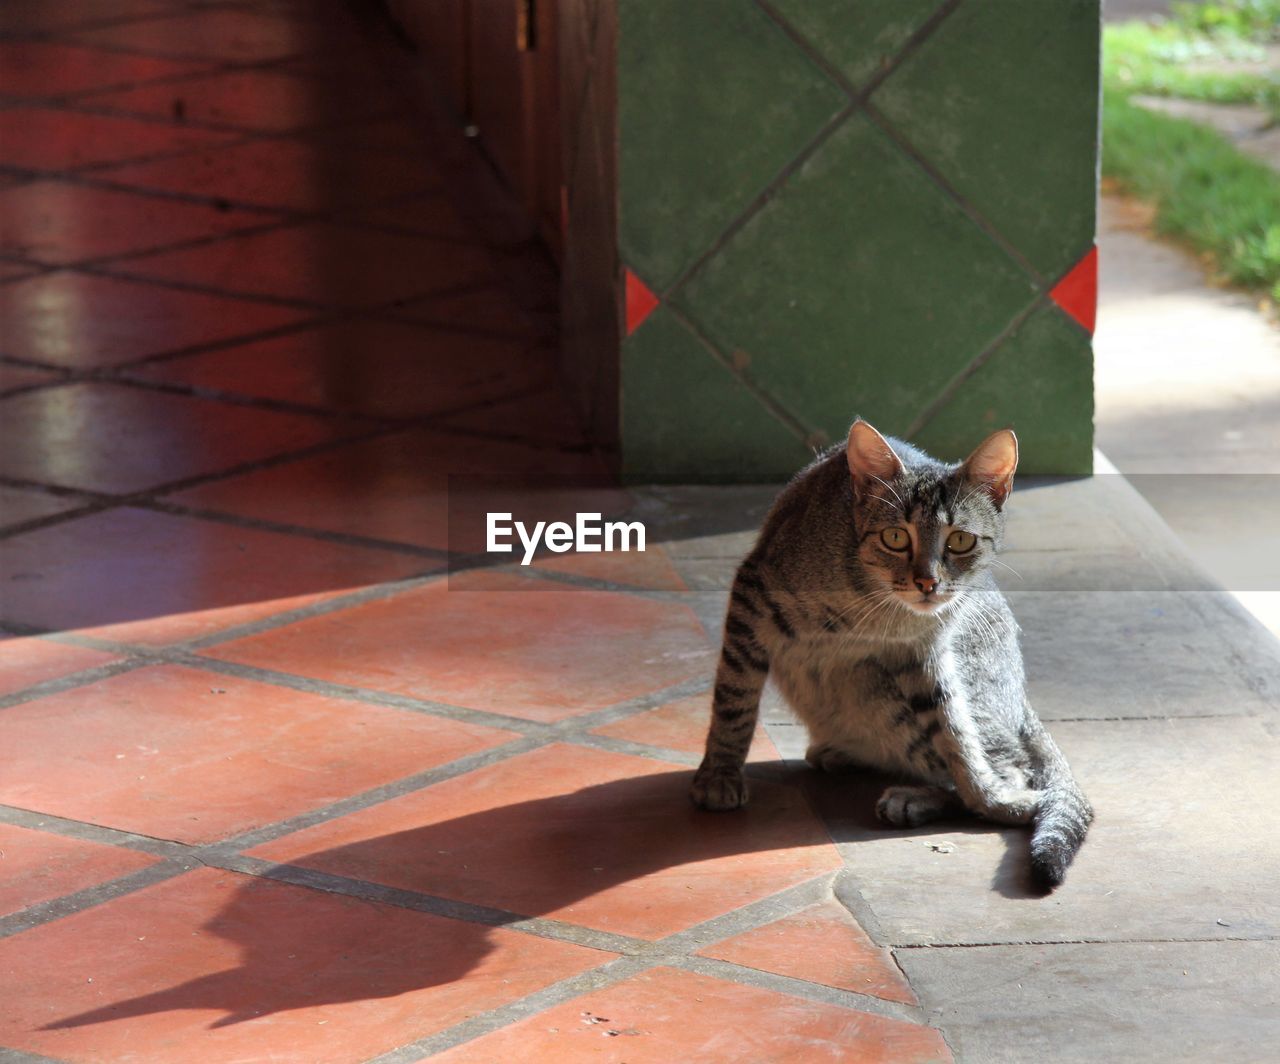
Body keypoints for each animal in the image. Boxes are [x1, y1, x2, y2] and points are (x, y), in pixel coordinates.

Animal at [696, 417, 1095, 891]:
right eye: (894, 536)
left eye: (961, 540)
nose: (928, 582)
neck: (875, 608)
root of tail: (1020, 700)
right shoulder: (753, 596)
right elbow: (734, 702)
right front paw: (720, 772)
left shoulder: (925, 653)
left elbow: (957, 737)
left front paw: (994, 803)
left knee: (1009, 763)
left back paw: (916, 798)